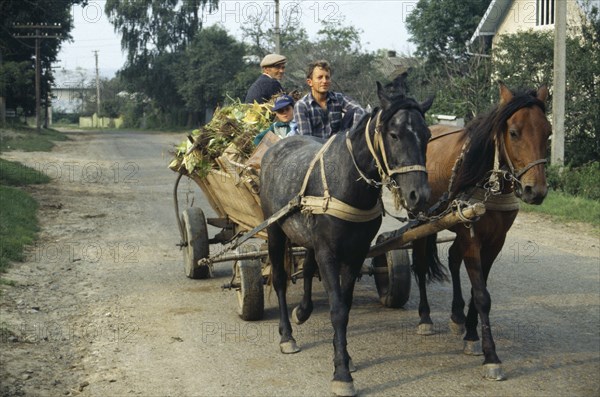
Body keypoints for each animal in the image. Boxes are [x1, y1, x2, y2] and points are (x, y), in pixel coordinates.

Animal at [412, 82, 548, 378]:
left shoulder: (496, 240)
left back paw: (457, 316)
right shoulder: (471, 236)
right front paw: (491, 356)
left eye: (548, 132)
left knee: (453, 258)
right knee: (420, 263)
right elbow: (482, 295)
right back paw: (425, 317)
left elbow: (479, 290)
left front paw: (472, 335)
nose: (536, 191)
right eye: (513, 132)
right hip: (420, 219)